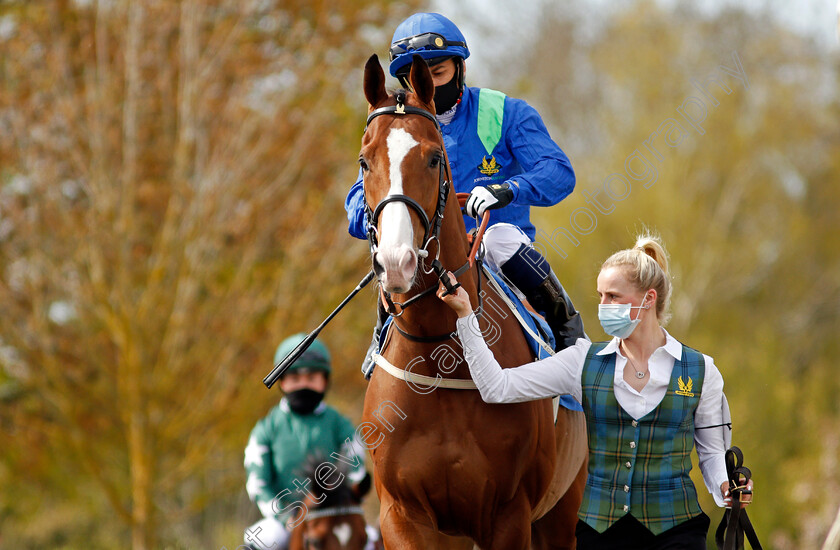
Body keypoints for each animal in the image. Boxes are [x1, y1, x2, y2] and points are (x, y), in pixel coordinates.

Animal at [358, 52, 588, 550]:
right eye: (365, 162)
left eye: (432, 158)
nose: (396, 261)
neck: (437, 356)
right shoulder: (401, 516)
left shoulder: (509, 515)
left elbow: (553, 165)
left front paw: (489, 194)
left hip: (560, 512)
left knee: (500, 232)